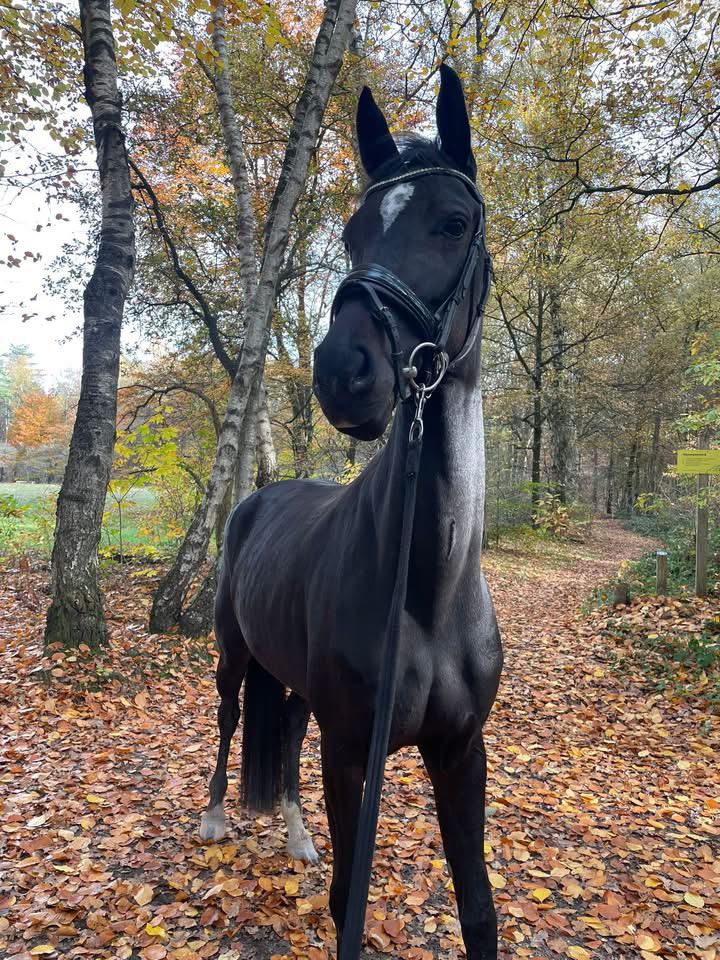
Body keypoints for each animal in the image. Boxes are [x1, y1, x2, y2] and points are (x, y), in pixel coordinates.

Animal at [199, 64, 503, 960]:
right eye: (352, 231)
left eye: (453, 222)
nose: (343, 371)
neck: (428, 588)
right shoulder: (350, 750)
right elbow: (346, 902)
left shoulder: (460, 753)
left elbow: (477, 905)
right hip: (233, 656)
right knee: (230, 720)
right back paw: (216, 818)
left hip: (294, 683)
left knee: (284, 736)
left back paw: (297, 837)